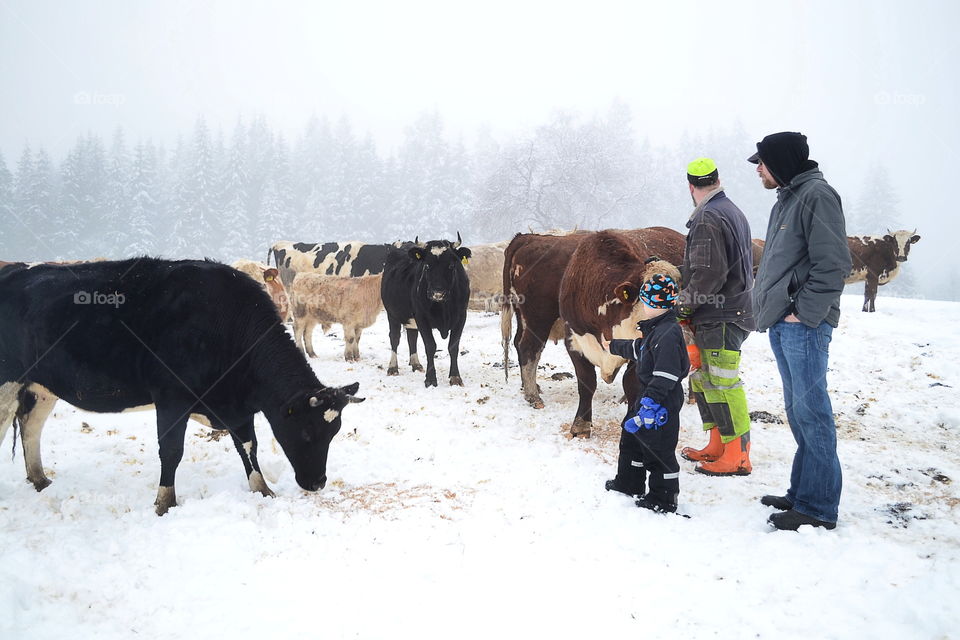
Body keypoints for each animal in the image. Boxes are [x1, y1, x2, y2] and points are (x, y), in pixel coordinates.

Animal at [0, 258, 364, 512]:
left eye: (333, 432)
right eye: (306, 432)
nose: (317, 483)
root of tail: (15, 269)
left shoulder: (237, 405)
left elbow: (248, 446)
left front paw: (262, 489)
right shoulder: (171, 397)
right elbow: (172, 451)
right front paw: (165, 503)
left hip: (41, 386)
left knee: (31, 427)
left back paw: (39, 479)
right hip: (7, 381)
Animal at [382, 234, 472, 388]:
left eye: (451, 265)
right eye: (427, 265)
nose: (437, 293)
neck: (443, 307)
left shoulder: (461, 316)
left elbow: (453, 347)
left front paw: (455, 377)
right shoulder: (422, 317)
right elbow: (430, 346)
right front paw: (430, 379)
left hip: (410, 320)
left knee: (412, 337)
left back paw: (416, 364)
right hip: (392, 314)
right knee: (394, 338)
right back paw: (393, 367)